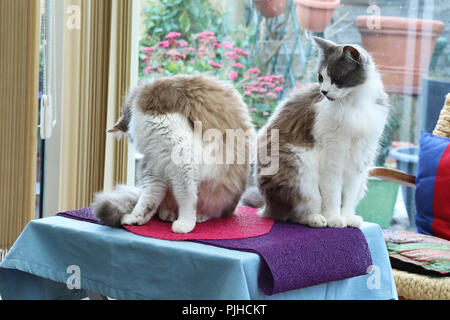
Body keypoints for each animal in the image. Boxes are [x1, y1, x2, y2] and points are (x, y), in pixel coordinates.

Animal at [243, 37, 390, 228]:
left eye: (336, 78)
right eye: (321, 77)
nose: (324, 91)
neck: (354, 104)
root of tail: (266, 205)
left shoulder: (359, 161)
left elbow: (348, 198)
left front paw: (348, 218)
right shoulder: (332, 158)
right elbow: (333, 195)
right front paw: (335, 219)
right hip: (299, 172)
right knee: (291, 214)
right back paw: (316, 218)